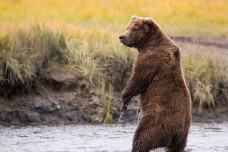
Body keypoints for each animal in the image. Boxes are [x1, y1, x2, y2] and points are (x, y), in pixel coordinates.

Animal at [119, 15, 192, 152]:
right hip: (181, 138)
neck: (148, 43)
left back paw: (137, 146)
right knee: (175, 147)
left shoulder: (150, 59)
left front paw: (124, 100)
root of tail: (179, 129)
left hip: (159, 118)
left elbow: (138, 79)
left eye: (134, 29)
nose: (121, 37)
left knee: (144, 135)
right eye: (127, 27)